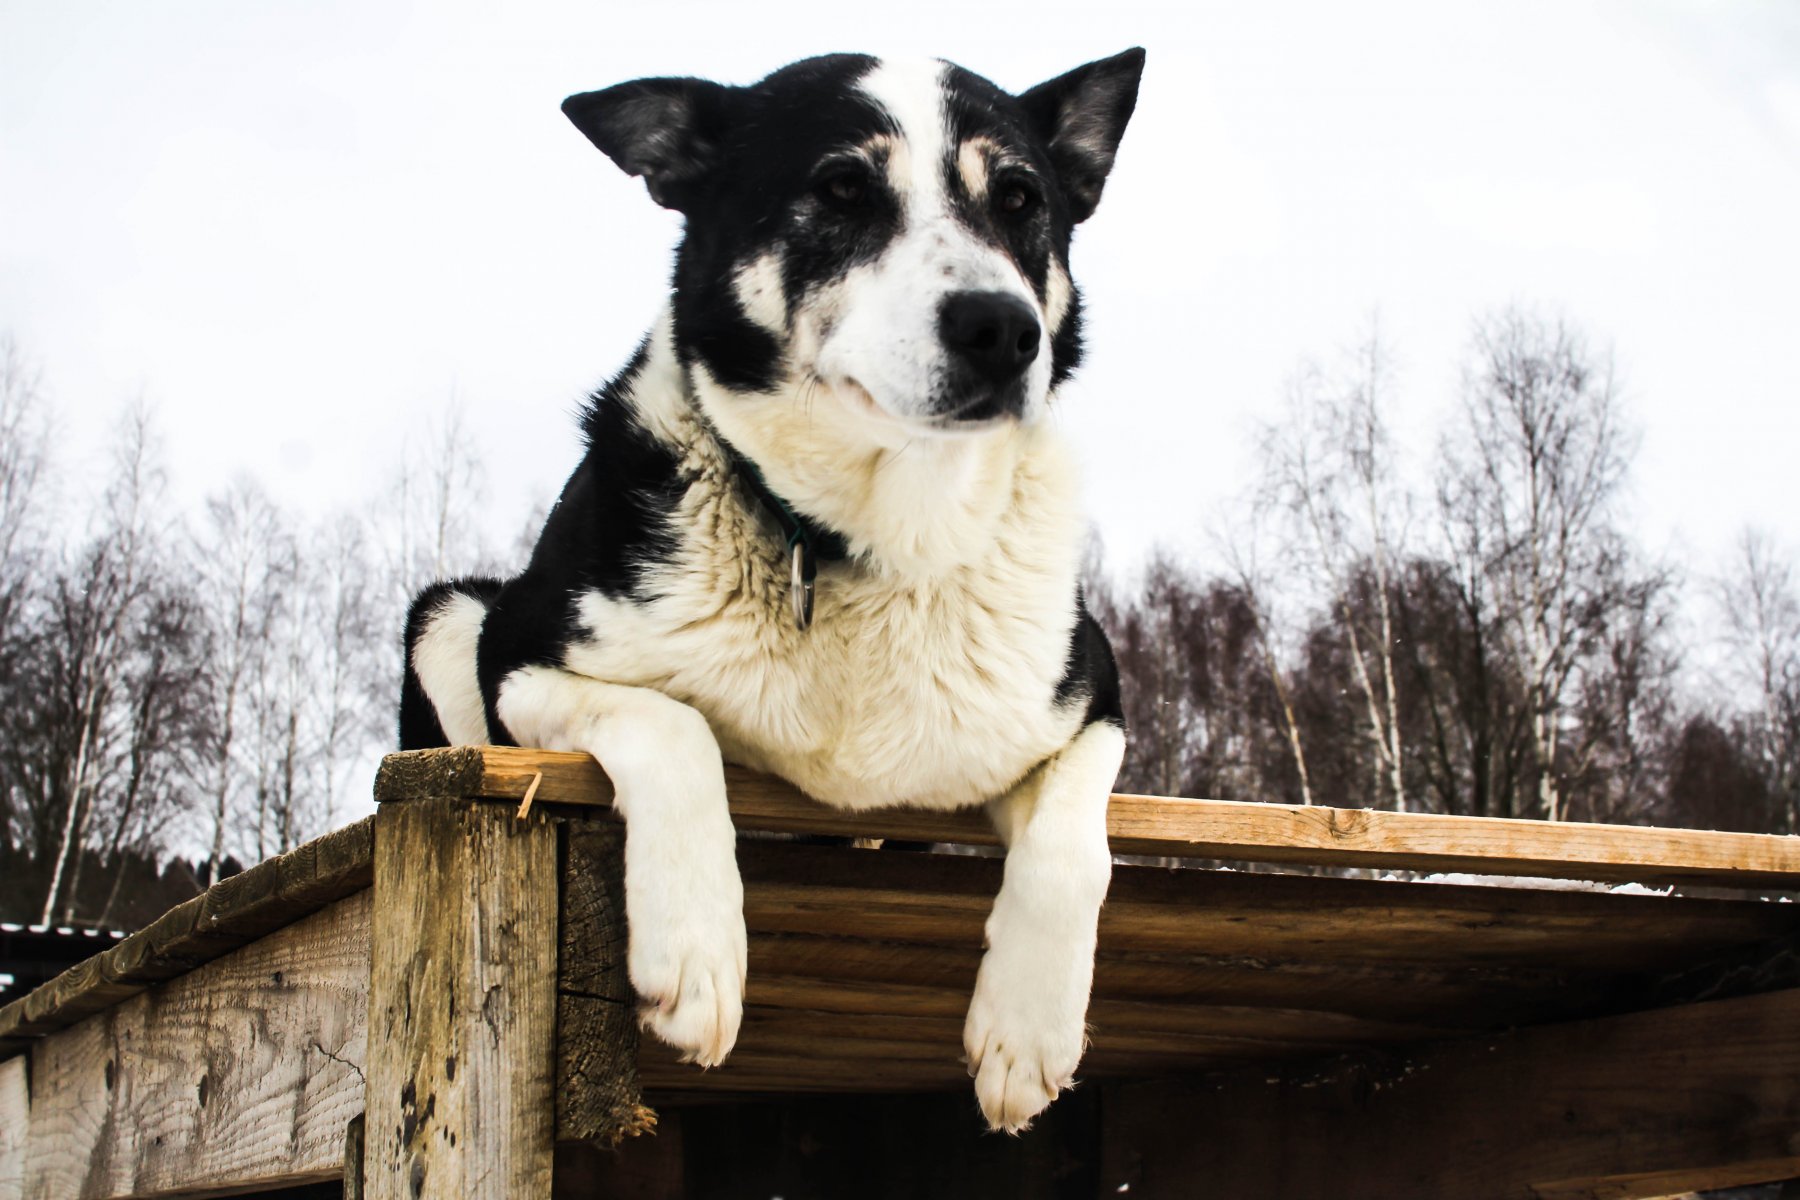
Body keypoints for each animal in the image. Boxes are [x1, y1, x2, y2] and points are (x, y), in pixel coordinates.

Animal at [403, 49, 1144, 1137]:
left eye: (1019, 199)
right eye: (840, 189)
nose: (1003, 330)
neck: (862, 543)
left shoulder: (1090, 690)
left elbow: (1075, 841)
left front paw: (1029, 1030)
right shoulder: (523, 652)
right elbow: (675, 726)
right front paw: (698, 951)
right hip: (447, 615)